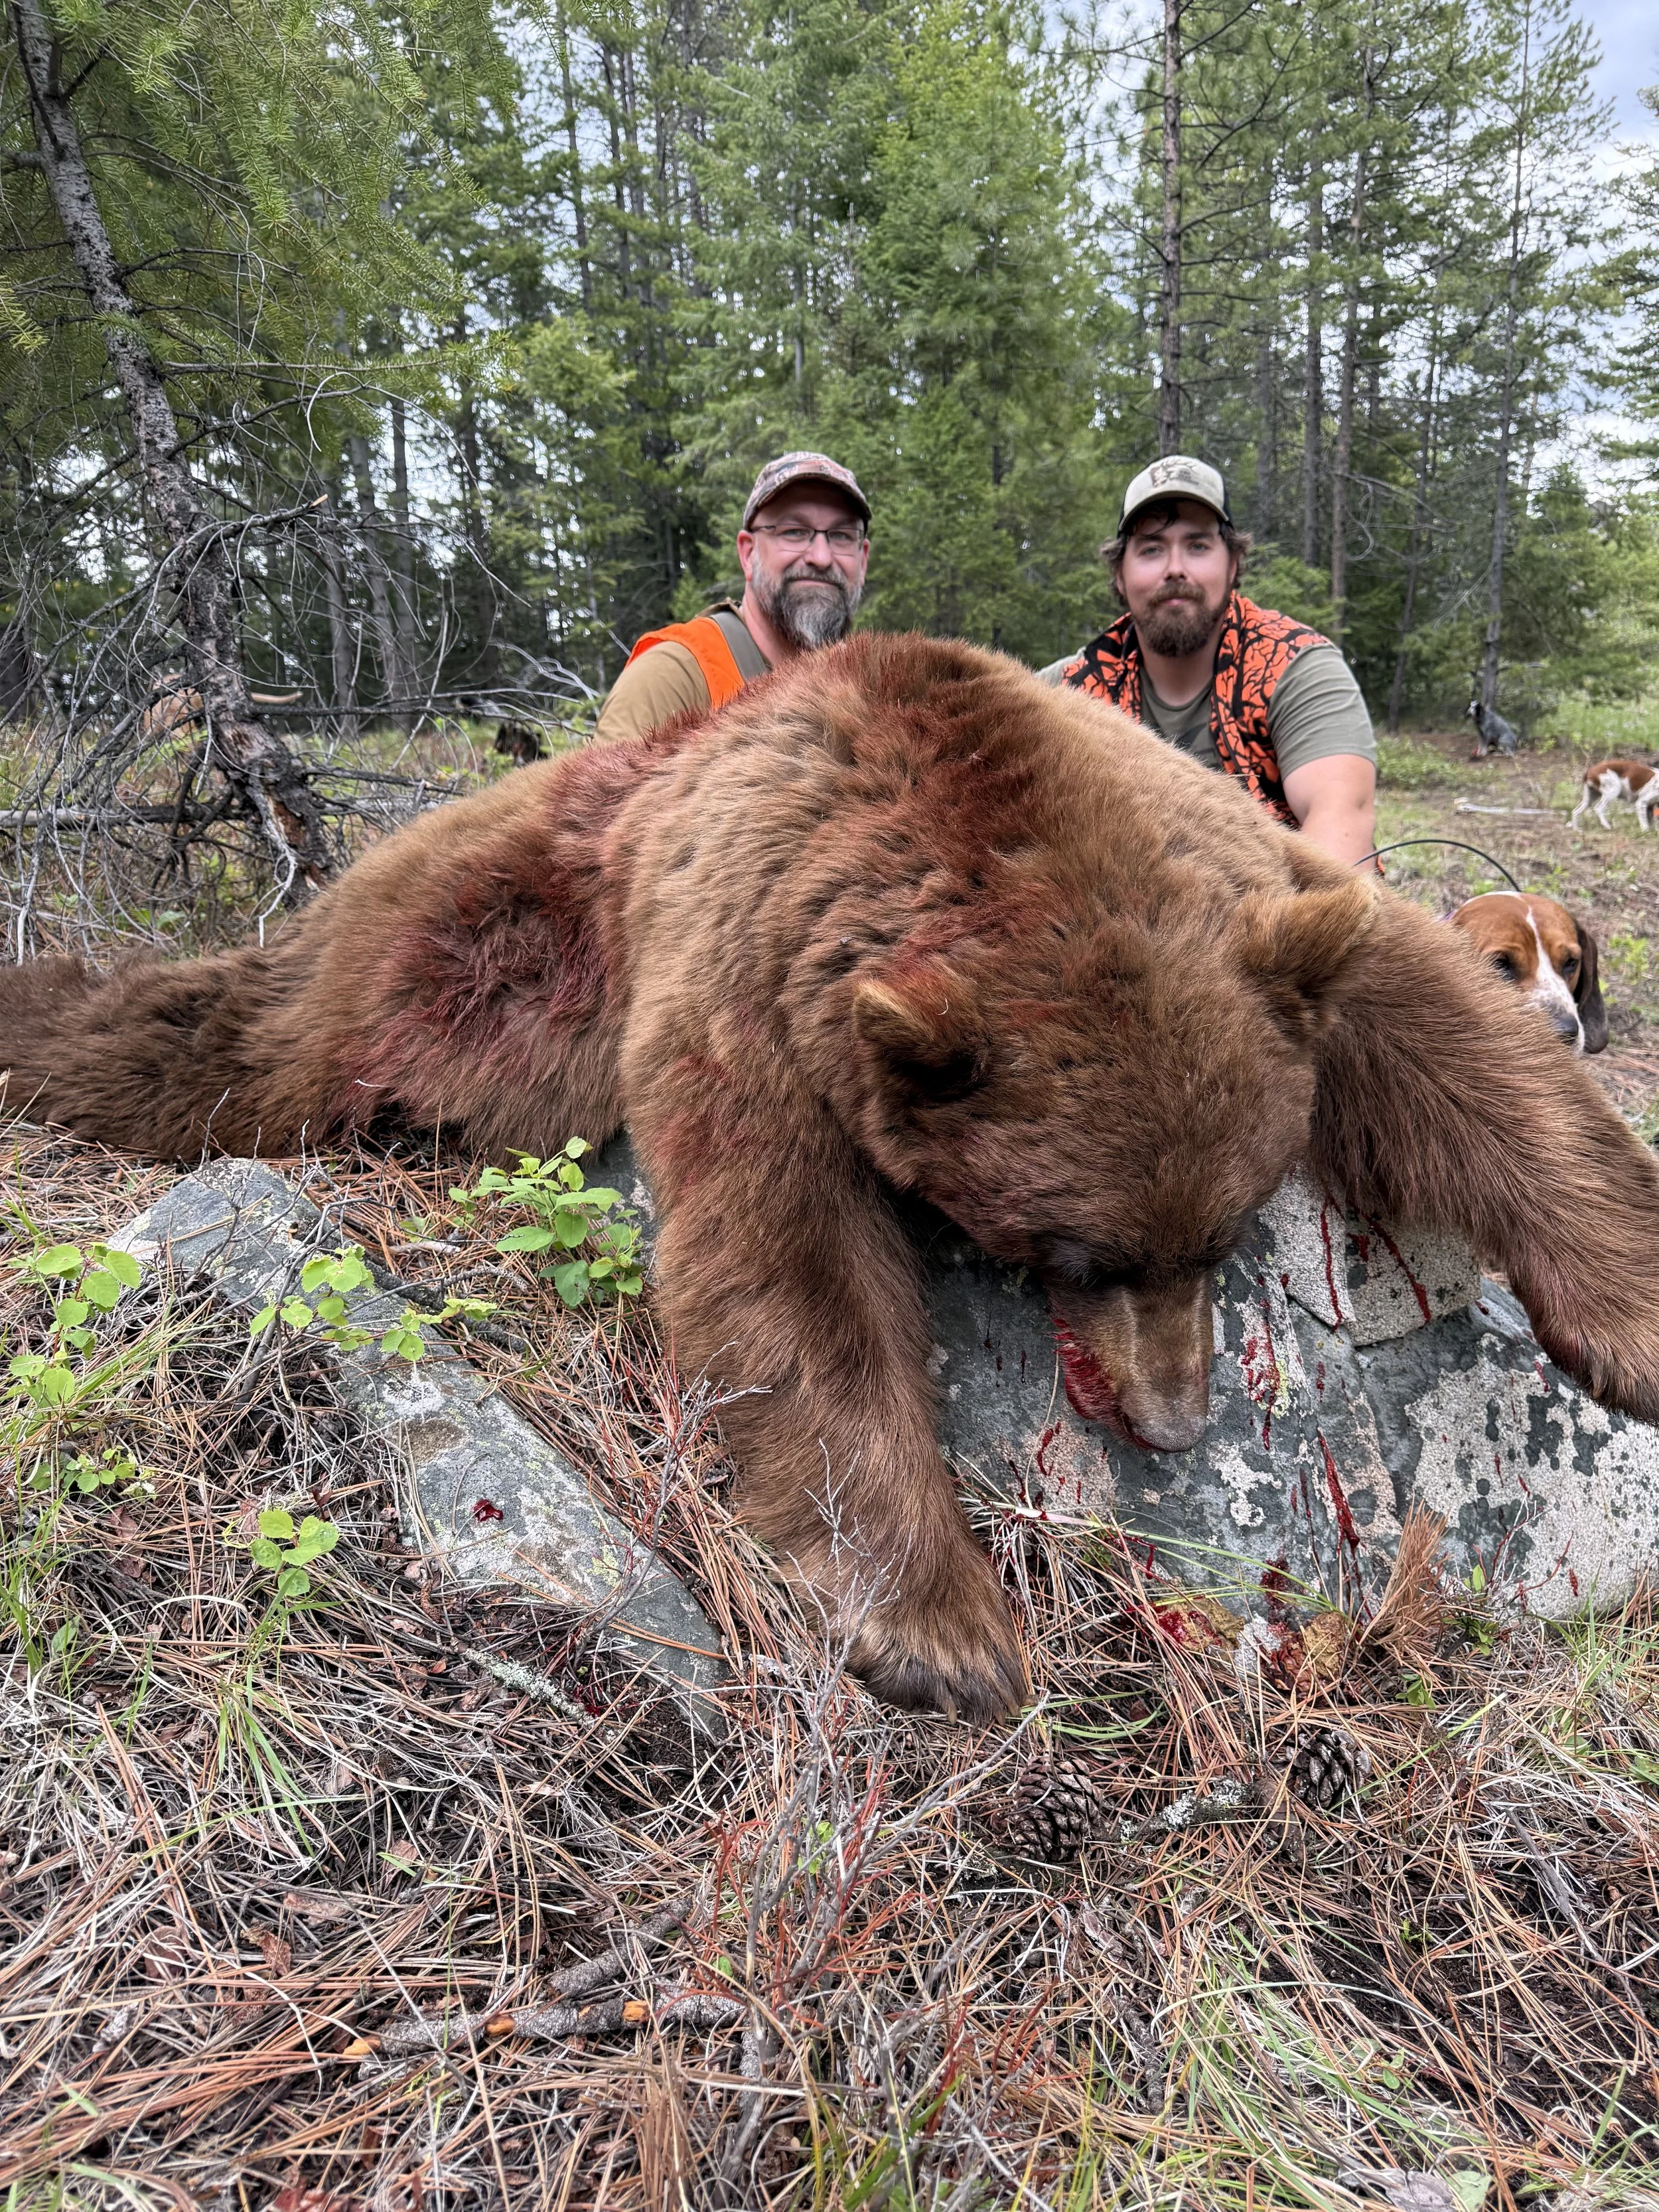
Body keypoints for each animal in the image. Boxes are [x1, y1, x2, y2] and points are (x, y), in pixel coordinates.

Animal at [6, 632, 1659, 1722]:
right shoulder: (758, 976)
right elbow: (785, 1262)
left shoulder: (1248, 886)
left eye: (1227, 1228)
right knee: (254, 1039)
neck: (971, 811)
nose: (1180, 1420)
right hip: (463, 933)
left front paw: (1628, 1314)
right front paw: (942, 1621)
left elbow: (1451, 1037)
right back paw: (53, 1017)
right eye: (1079, 1252)